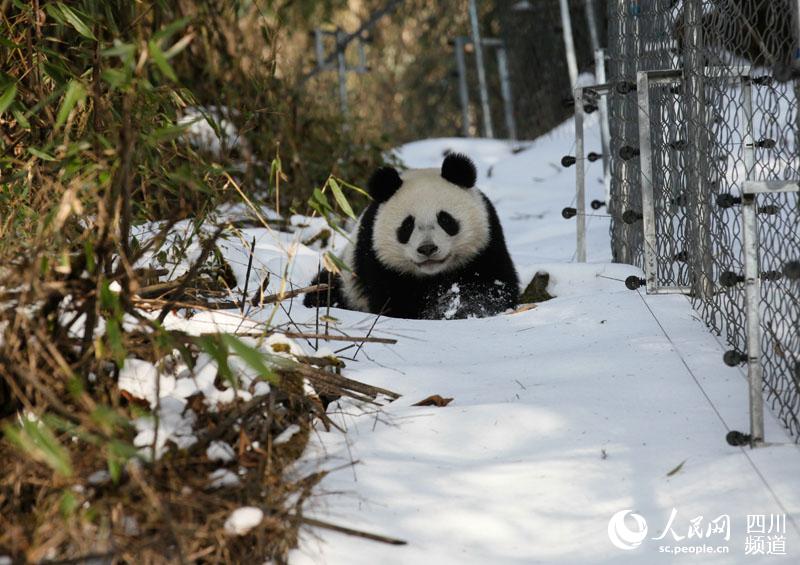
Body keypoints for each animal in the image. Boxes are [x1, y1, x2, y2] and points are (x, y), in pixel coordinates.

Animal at [304, 154, 520, 320]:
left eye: (445, 219)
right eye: (407, 226)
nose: (427, 249)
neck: (433, 276)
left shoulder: (486, 244)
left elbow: (491, 288)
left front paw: (458, 310)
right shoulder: (376, 259)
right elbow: (393, 302)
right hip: (344, 279)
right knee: (323, 290)